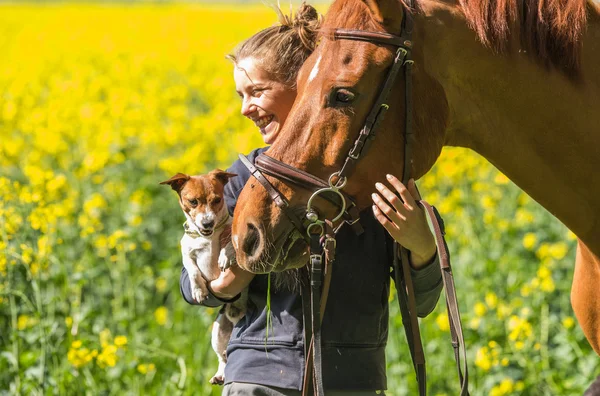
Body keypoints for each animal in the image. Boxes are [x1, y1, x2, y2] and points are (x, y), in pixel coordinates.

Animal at [161, 169, 247, 384]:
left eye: (217, 200)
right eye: (193, 201)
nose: (207, 222)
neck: (208, 237)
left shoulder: (233, 233)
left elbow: (230, 244)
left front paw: (225, 256)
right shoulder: (186, 252)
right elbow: (192, 270)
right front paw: (199, 291)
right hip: (217, 331)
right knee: (222, 357)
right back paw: (219, 375)